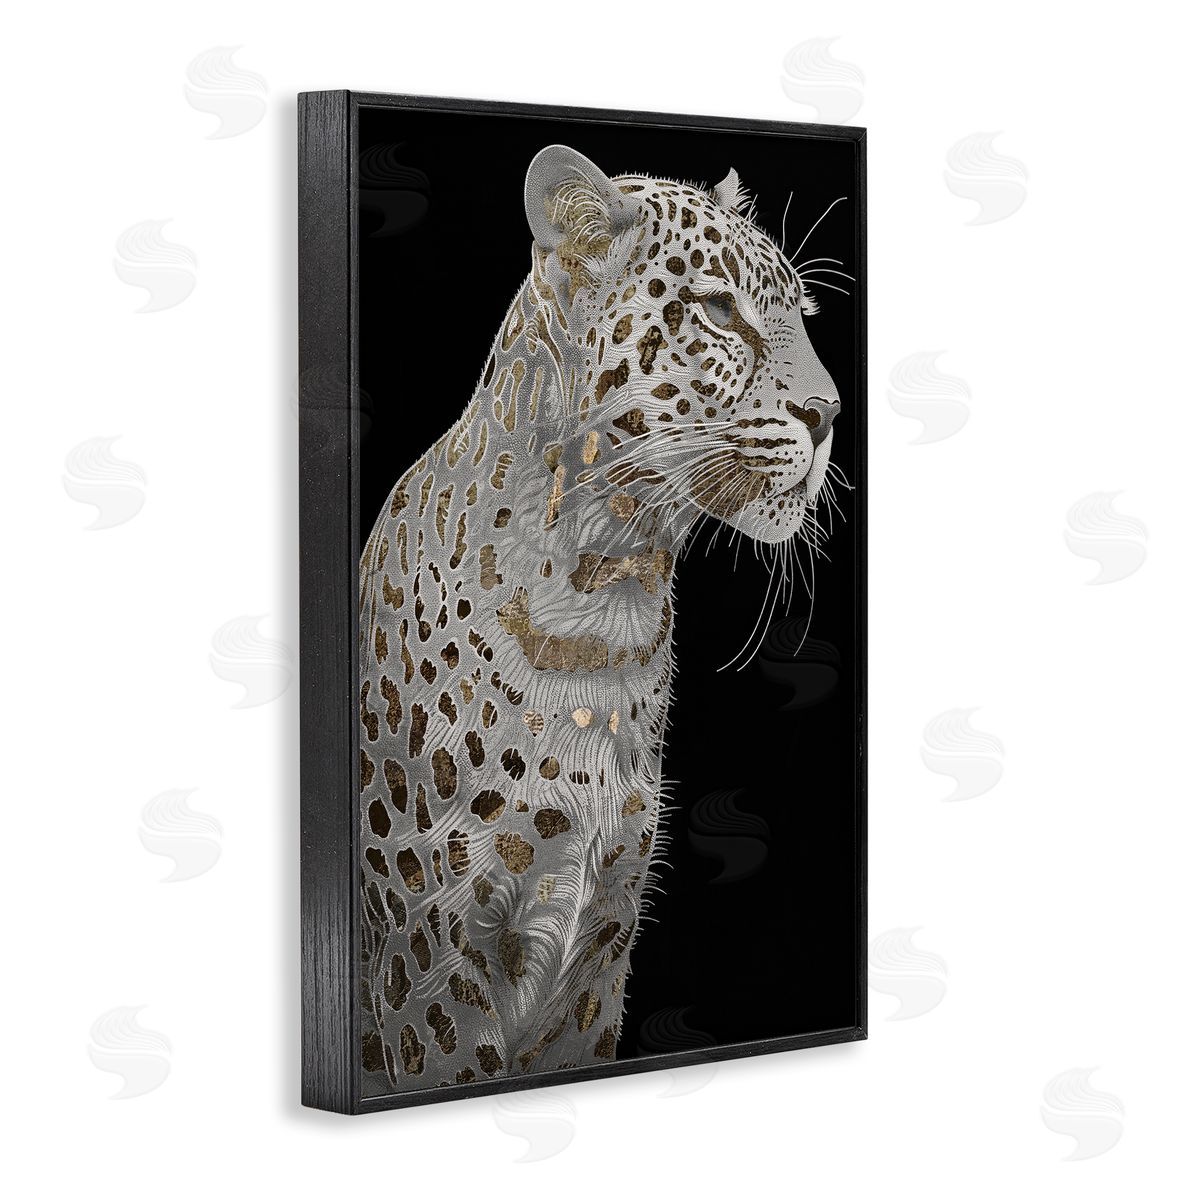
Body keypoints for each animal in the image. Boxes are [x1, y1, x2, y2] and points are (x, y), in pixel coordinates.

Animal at [357, 143, 843, 1093]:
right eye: (720, 311)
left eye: (798, 315)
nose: (831, 415)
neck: (606, 599)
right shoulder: (433, 960)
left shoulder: (601, 948)